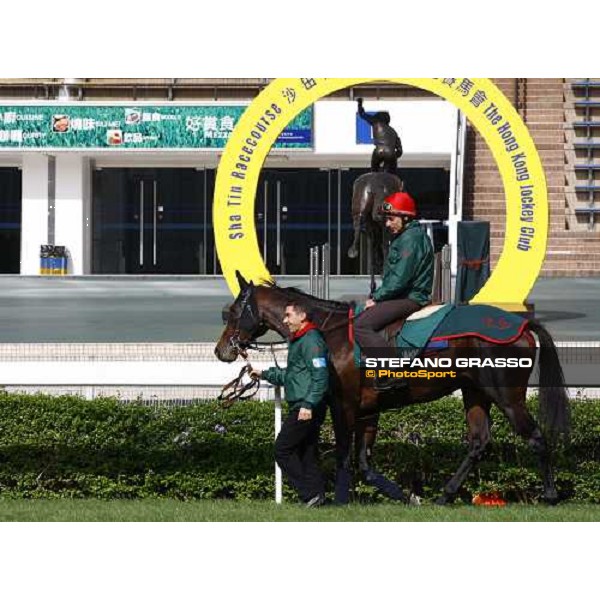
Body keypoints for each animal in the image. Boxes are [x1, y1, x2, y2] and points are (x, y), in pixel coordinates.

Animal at [213, 274, 568, 504]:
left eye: (232, 311)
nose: (221, 350)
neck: (330, 330)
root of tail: (522, 323)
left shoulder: (344, 404)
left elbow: (344, 454)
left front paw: (340, 498)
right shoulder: (368, 410)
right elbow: (365, 462)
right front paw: (404, 495)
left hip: (506, 395)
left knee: (536, 437)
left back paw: (550, 495)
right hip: (475, 393)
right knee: (479, 443)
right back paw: (446, 494)